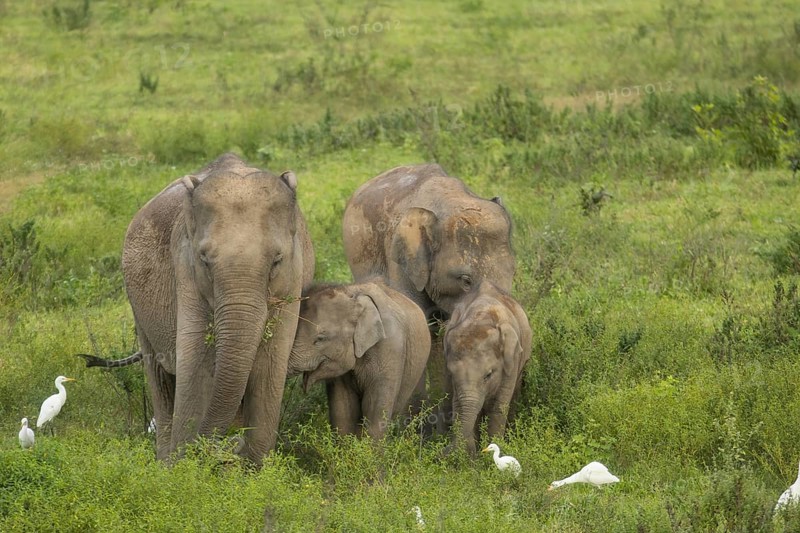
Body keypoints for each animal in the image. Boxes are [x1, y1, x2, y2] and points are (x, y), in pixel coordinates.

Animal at [81, 153, 314, 465]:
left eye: (277, 260)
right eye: (204, 260)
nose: (232, 444)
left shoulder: (293, 280)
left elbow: (269, 366)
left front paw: (250, 467)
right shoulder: (185, 270)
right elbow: (196, 365)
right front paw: (185, 469)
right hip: (139, 310)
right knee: (160, 378)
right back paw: (165, 460)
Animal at [443, 281, 531, 456]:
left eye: (488, 375)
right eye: (451, 374)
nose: (445, 451)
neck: (480, 317)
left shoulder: (511, 362)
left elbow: (498, 407)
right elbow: (457, 405)